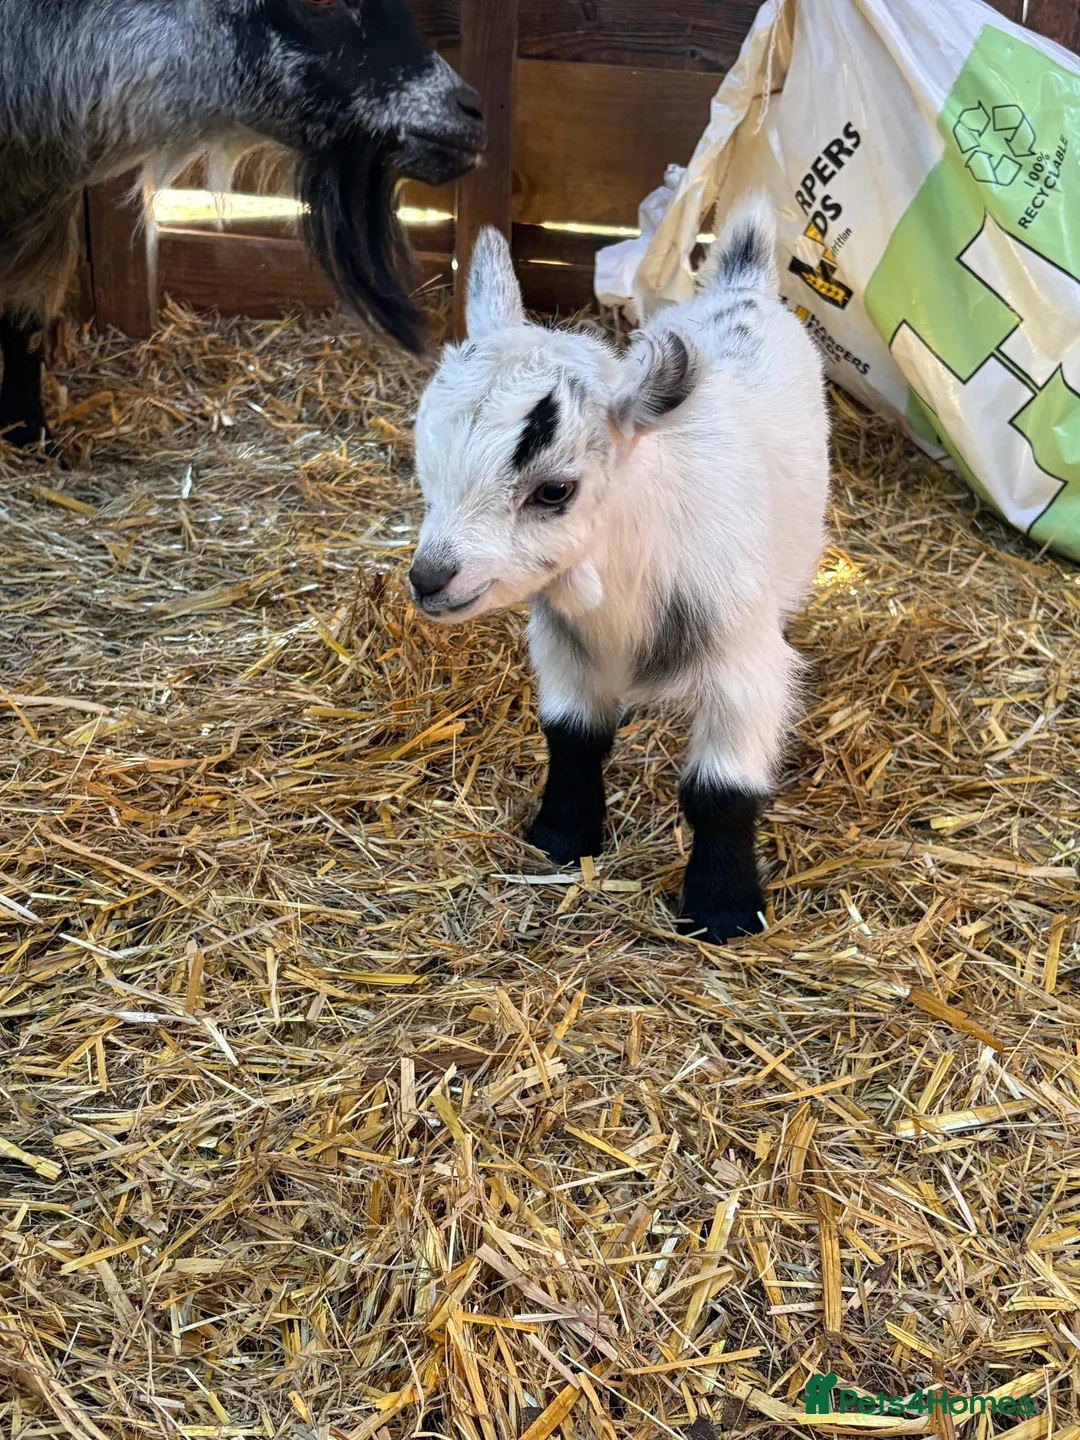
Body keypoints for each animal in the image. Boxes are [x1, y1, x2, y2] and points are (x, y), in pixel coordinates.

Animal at [409, 196, 830, 944]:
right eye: (422, 458)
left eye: (554, 491)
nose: (429, 580)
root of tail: (743, 281)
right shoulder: (563, 644)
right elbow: (573, 738)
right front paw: (560, 838)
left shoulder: (744, 668)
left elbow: (721, 791)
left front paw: (722, 911)